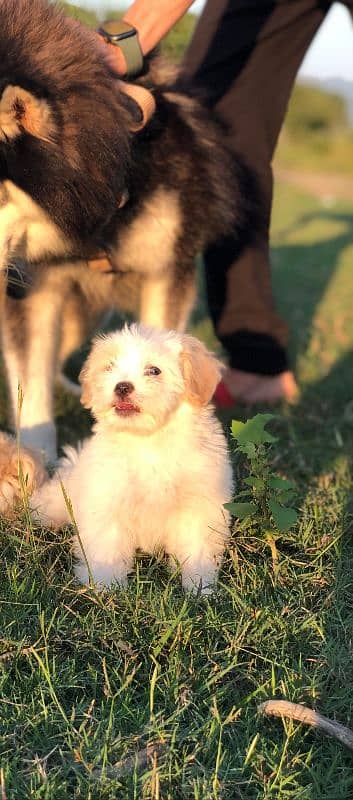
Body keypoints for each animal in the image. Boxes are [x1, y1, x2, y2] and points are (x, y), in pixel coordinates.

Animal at [31, 324, 232, 592]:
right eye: (109, 367)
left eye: (154, 370)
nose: (122, 386)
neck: (147, 439)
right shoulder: (107, 499)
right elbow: (107, 546)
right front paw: (106, 587)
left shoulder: (199, 504)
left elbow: (197, 547)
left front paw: (200, 587)